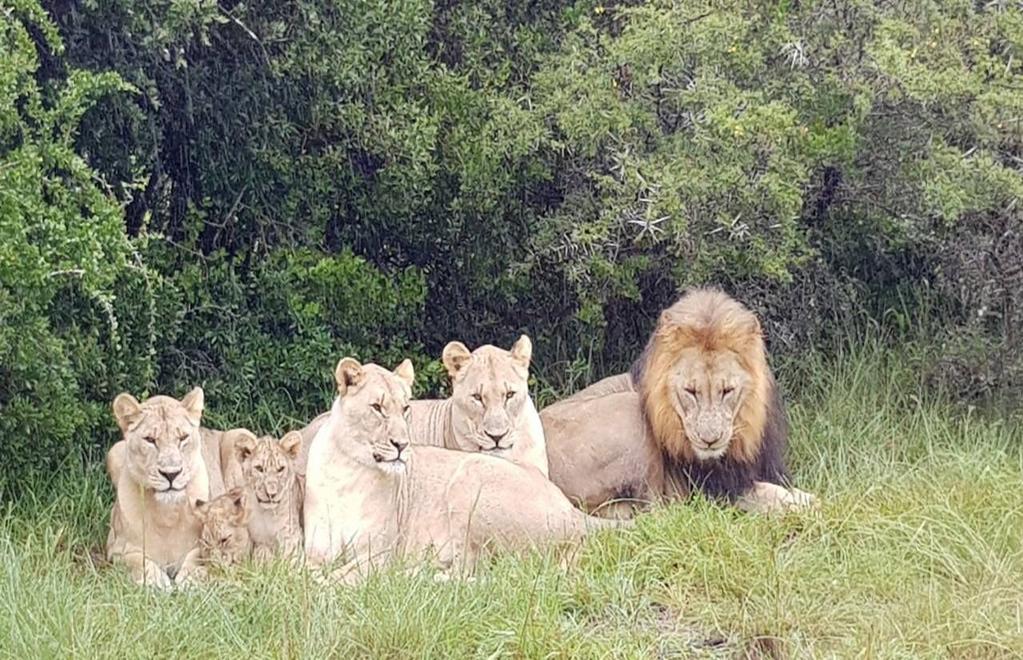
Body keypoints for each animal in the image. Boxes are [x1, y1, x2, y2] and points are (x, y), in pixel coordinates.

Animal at [104, 386, 223, 585]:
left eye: (183, 437)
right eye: (150, 439)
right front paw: (156, 581)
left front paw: (189, 580)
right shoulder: (116, 549)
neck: (167, 514)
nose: (171, 474)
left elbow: (197, 557)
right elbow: (138, 561)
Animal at [302, 358, 621, 581]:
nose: (402, 444)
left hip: (470, 479)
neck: (348, 471)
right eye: (377, 408)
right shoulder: (314, 551)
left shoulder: (379, 554)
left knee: (473, 572)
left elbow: (341, 578)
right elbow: (300, 574)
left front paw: (330, 585)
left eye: (405, 408)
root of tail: (570, 509)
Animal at [544, 288, 814, 515]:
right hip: (630, 410)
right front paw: (810, 506)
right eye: (691, 391)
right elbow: (771, 495)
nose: (709, 440)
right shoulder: (715, 490)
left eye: (727, 390)